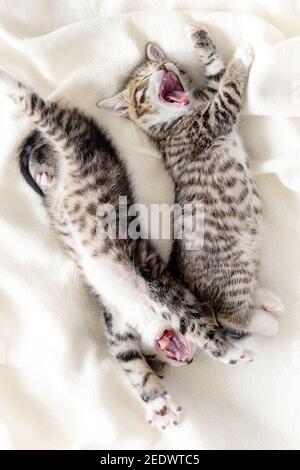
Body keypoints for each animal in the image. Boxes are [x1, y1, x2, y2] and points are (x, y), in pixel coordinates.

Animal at [0, 69, 254, 430]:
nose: (188, 362)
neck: (144, 314)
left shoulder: (118, 328)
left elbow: (131, 365)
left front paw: (158, 402)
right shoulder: (163, 293)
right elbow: (200, 330)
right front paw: (230, 352)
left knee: (44, 149)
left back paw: (46, 172)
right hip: (68, 135)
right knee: (38, 108)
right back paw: (10, 84)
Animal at [98, 23, 284, 338]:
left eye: (160, 65)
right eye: (143, 81)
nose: (163, 65)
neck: (187, 110)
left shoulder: (211, 95)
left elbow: (217, 71)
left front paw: (198, 37)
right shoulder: (213, 119)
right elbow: (230, 87)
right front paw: (242, 56)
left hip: (244, 263)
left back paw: (268, 300)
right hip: (232, 270)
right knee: (229, 316)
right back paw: (265, 322)